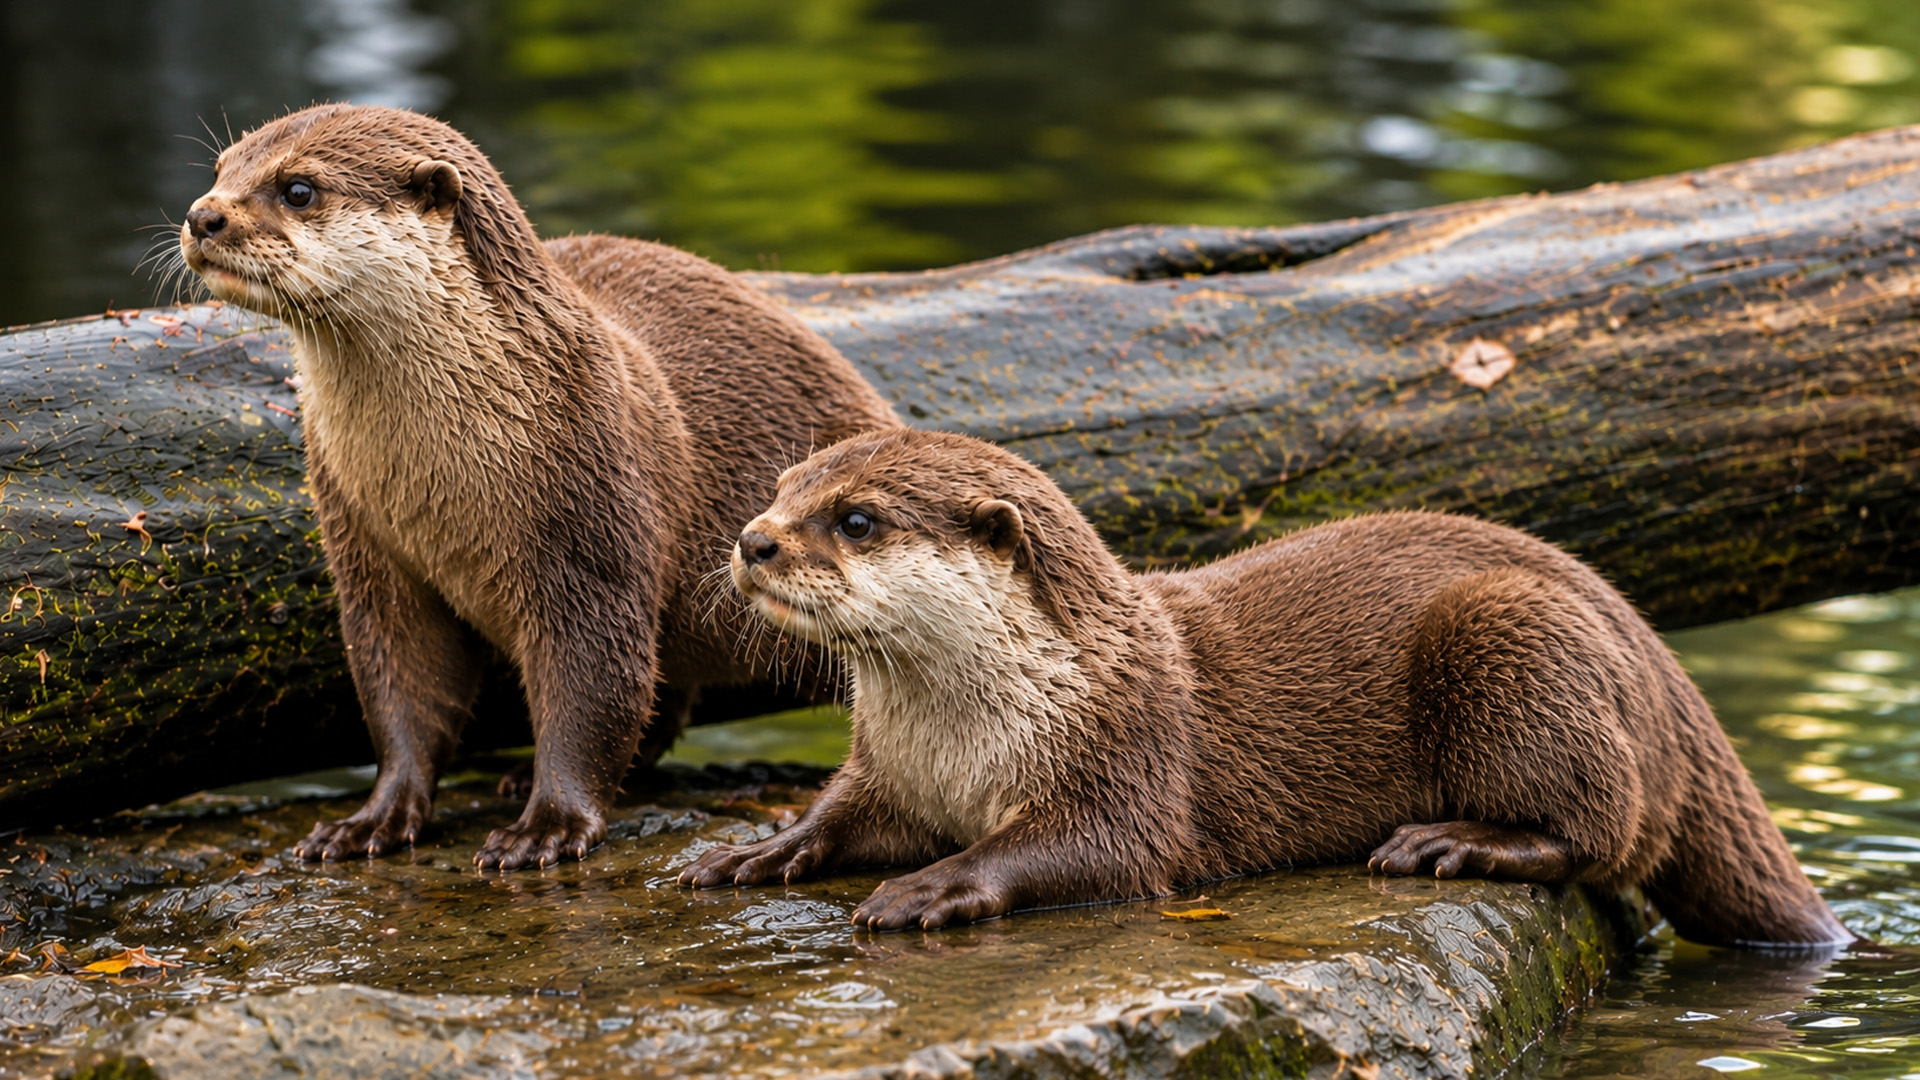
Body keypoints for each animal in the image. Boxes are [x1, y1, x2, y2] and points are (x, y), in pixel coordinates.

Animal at [180, 104, 899, 870]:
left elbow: (593, 687)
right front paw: (371, 820)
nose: (203, 216)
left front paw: (546, 826)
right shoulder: (369, 548)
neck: (437, 485)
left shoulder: (589, 524)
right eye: (221, 169)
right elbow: (400, 694)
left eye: (299, 189)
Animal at [679, 429, 1852, 947]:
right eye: (783, 486)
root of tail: (1649, 650)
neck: (967, 739)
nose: (753, 541)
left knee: (1607, 834)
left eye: (857, 518)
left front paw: (930, 887)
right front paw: (758, 849)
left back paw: (1454, 843)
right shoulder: (888, 767)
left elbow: (1089, 850)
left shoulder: (1130, 750)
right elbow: (841, 814)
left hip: (1515, 642)